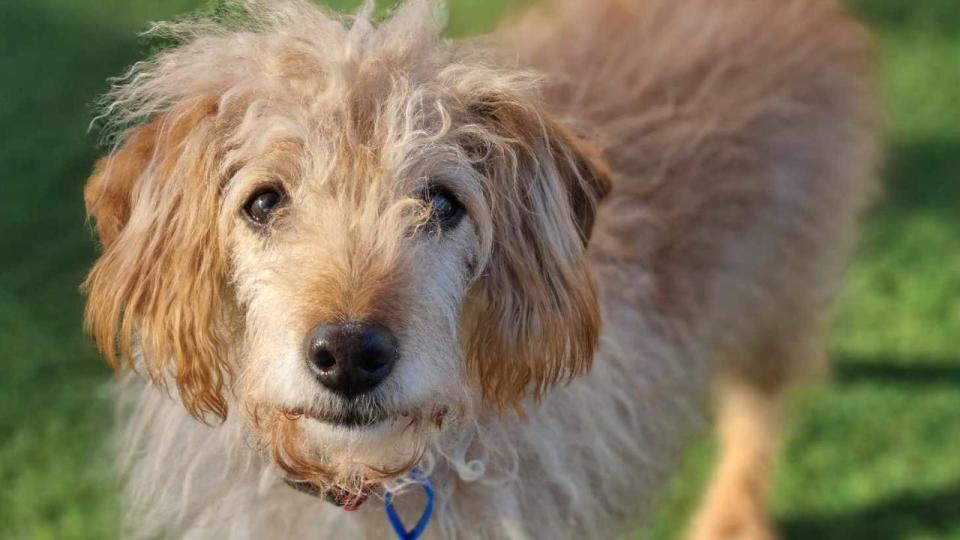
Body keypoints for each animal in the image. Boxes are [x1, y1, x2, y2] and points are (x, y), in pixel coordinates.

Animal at [84, 0, 876, 536]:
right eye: (264, 201)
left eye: (442, 202)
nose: (349, 354)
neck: (371, 478)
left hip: (781, 287)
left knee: (761, 406)